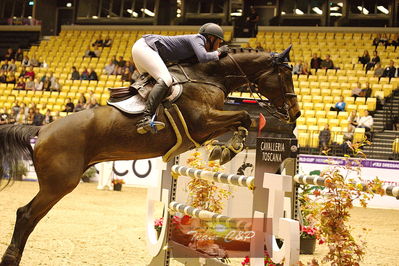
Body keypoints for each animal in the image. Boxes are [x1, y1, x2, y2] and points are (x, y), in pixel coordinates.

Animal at [0, 46, 300, 264]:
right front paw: (228, 148)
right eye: (285, 75)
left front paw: (224, 148)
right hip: (59, 184)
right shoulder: (202, 122)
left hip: (58, 184)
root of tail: (43, 128)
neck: (209, 77)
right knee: (26, 214)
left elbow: (239, 121)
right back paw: (10, 258)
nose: (296, 113)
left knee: (31, 217)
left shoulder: (206, 126)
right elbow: (243, 116)